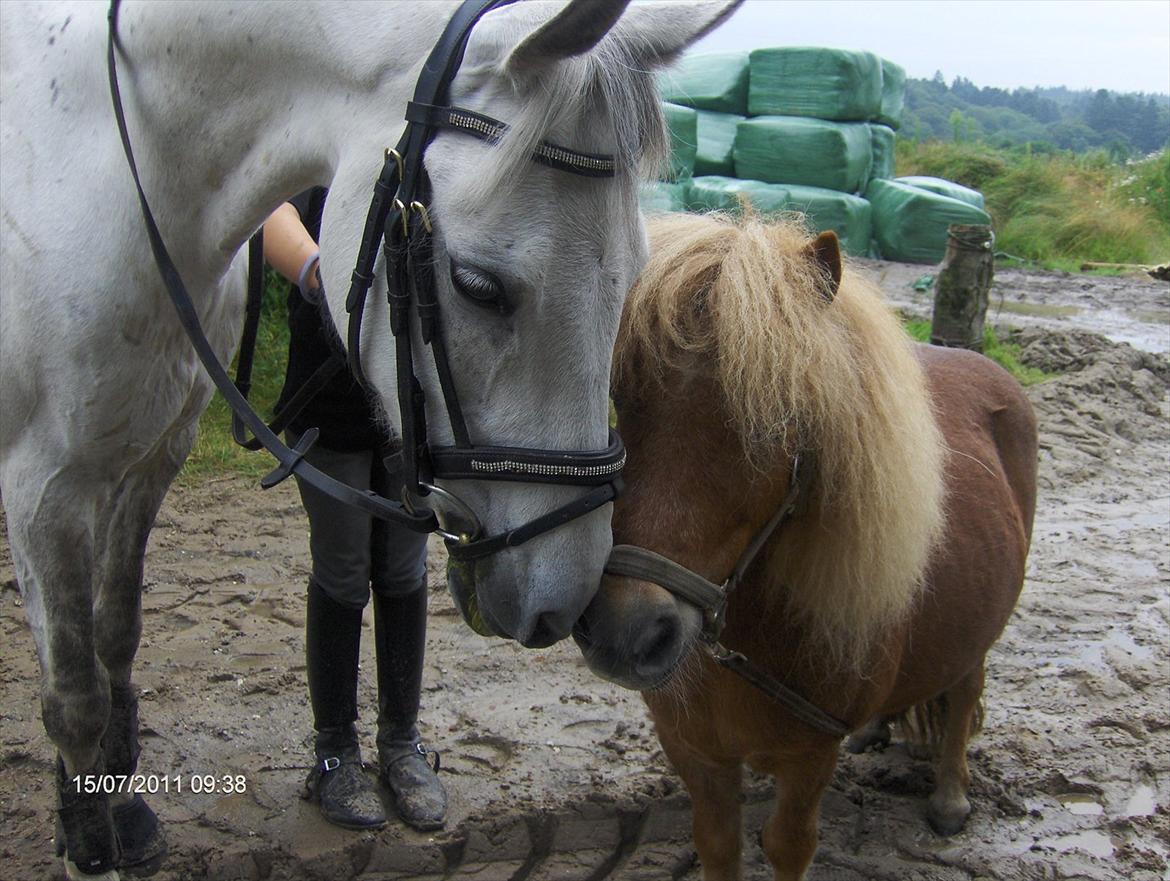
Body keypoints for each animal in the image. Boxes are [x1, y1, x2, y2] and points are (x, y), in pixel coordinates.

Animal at [0, 3, 734, 875]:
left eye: (633, 271)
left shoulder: (148, 461)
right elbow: (72, 693)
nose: (566, 598)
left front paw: (123, 814)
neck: (122, 174)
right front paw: (90, 843)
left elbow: (115, 637)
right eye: (477, 285)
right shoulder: (45, 488)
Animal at [570, 209, 1038, 875]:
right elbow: (718, 844)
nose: (623, 629)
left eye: (773, 425)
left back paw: (950, 795)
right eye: (622, 402)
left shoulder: (808, 758)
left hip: (982, 628)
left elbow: (788, 848)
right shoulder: (695, 753)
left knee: (965, 688)